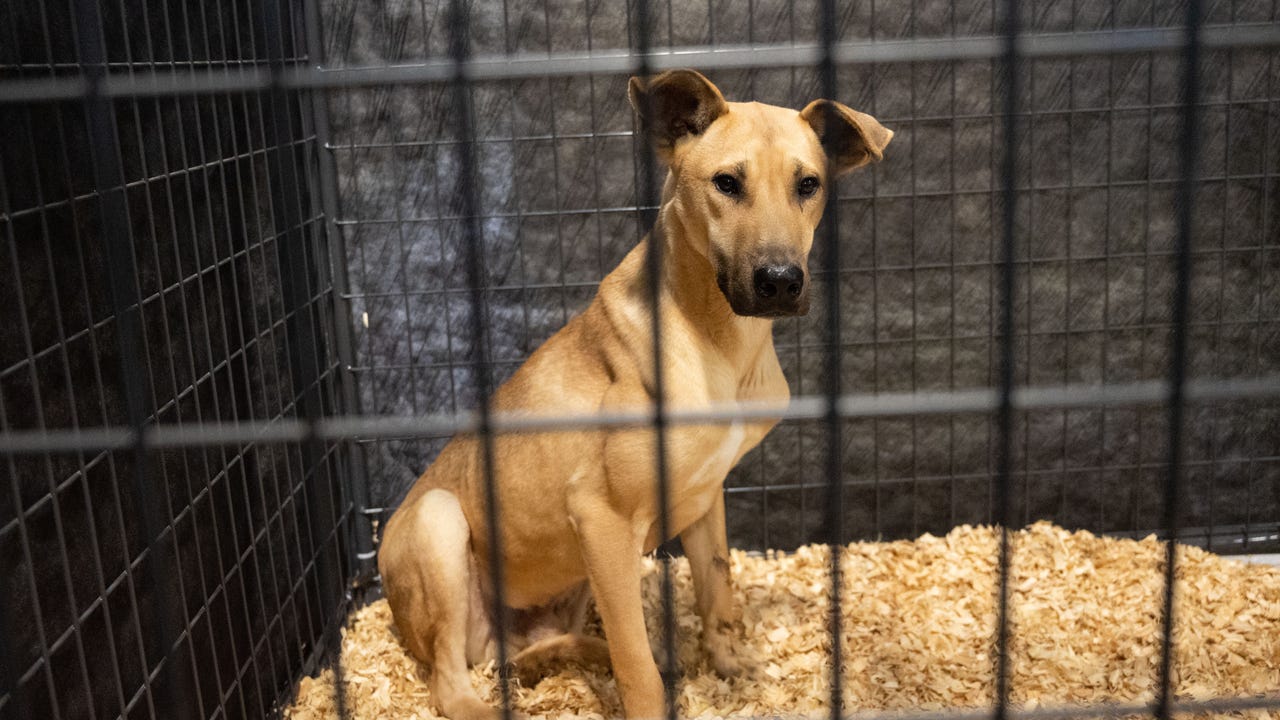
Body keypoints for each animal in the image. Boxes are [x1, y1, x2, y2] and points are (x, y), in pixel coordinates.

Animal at [376, 68, 890, 717]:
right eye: (727, 183)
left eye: (808, 184)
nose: (779, 281)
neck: (718, 341)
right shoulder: (601, 519)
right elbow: (634, 661)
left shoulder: (705, 499)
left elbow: (718, 596)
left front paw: (728, 667)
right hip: (441, 521)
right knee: (448, 684)